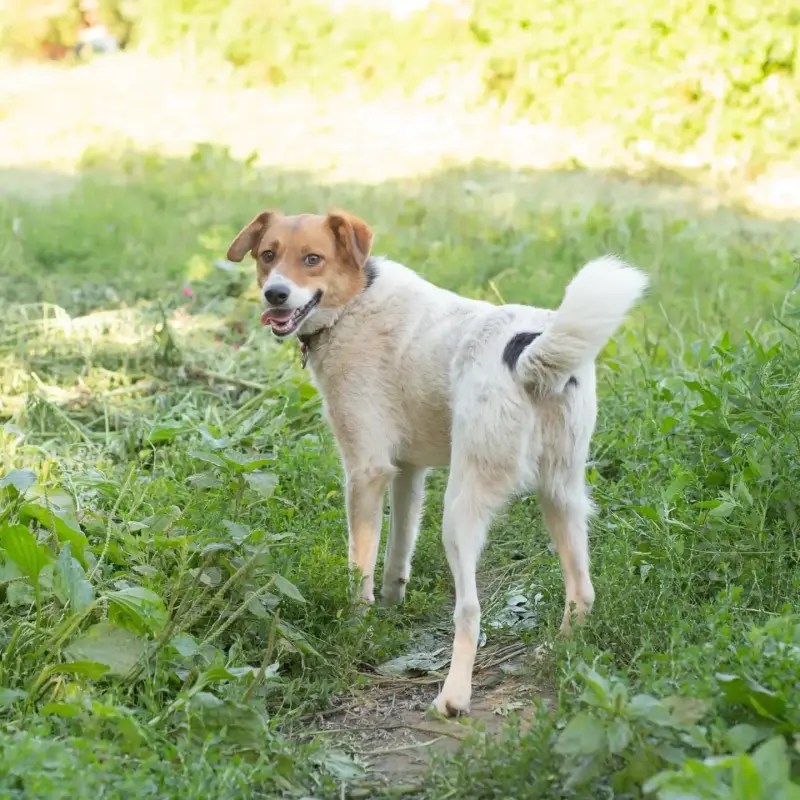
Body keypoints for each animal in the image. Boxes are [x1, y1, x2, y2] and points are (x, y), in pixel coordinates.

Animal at [223, 209, 644, 716]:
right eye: (268, 255)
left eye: (312, 259)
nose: (275, 294)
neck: (355, 302)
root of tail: (528, 353)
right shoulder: (407, 471)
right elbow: (396, 555)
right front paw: (390, 611)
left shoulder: (365, 471)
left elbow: (359, 570)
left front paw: (356, 629)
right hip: (562, 496)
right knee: (582, 591)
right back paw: (557, 651)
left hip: (460, 508)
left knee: (470, 611)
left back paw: (453, 697)